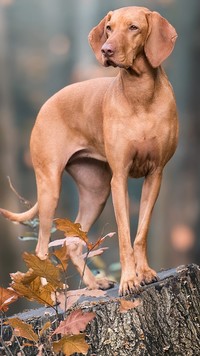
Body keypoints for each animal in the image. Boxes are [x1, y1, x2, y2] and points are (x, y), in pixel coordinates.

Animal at [0, 7, 178, 294]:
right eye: (109, 28)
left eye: (134, 27)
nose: (106, 50)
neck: (140, 93)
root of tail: (46, 103)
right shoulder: (119, 179)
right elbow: (125, 236)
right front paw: (129, 280)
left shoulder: (155, 175)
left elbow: (141, 233)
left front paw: (145, 273)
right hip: (51, 186)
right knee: (41, 248)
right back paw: (54, 296)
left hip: (96, 191)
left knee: (71, 242)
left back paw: (95, 285)